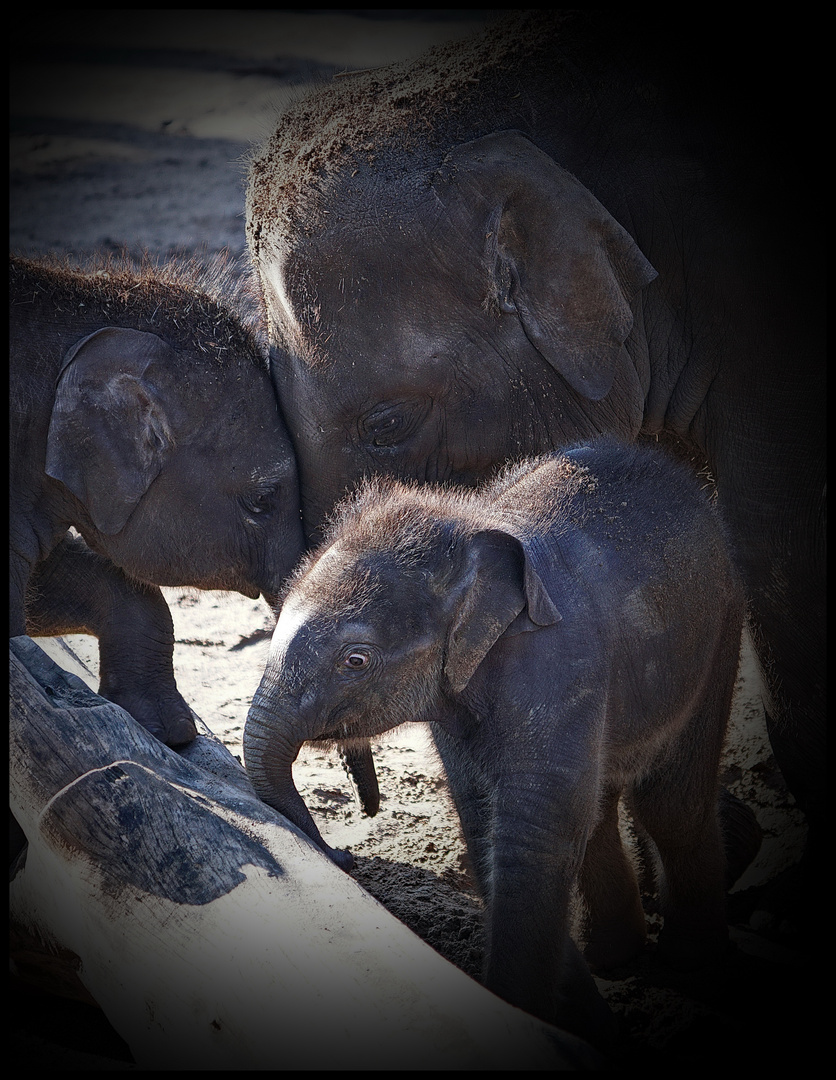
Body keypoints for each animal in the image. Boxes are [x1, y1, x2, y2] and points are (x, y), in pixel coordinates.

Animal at [241, 434, 747, 1041]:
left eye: (355, 660)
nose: (343, 857)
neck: (467, 534)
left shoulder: (558, 664)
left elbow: (531, 835)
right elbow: (487, 821)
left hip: (719, 628)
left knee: (667, 801)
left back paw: (689, 962)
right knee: (600, 808)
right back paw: (616, 959)